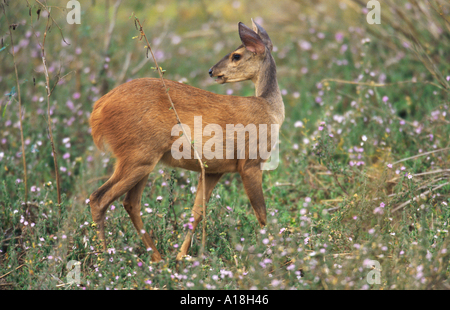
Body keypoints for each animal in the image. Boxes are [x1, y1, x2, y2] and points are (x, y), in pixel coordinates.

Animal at [89, 19, 284, 262]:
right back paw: (105, 259)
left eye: (236, 55)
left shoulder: (213, 170)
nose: (212, 71)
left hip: (142, 159)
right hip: (138, 155)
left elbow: (197, 211)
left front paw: (182, 255)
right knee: (99, 198)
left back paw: (158, 258)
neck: (270, 110)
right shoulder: (250, 162)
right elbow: (262, 214)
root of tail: (98, 109)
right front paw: (274, 253)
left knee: (129, 203)